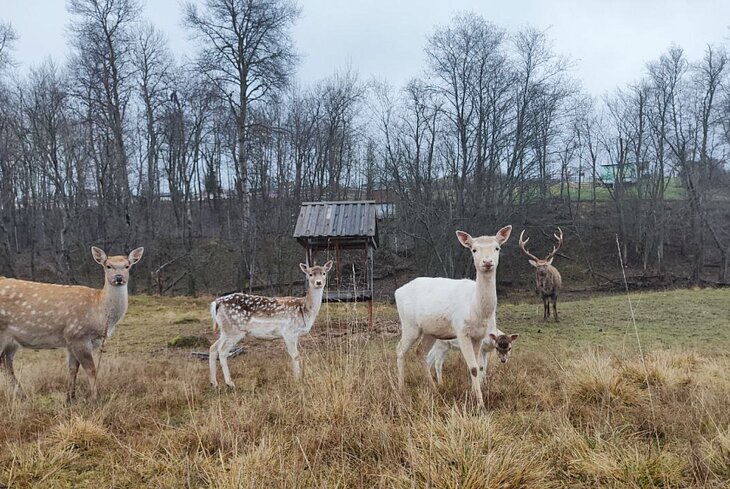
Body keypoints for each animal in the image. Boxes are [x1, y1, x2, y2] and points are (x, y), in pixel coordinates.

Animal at [0, 246, 144, 402]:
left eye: (127, 266)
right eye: (108, 266)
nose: (118, 278)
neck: (99, 313)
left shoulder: (70, 341)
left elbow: (73, 369)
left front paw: (70, 398)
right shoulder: (78, 335)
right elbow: (91, 369)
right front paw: (95, 399)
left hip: (12, 341)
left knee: (6, 363)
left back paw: (23, 395)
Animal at [392, 225, 512, 412]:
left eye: (497, 248)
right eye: (474, 249)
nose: (487, 262)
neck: (476, 309)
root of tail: (397, 292)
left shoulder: (478, 336)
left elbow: (477, 367)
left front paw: (473, 396)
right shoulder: (461, 331)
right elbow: (473, 367)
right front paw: (481, 407)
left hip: (430, 331)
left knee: (420, 352)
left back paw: (434, 388)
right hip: (409, 325)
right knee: (400, 350)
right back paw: (401, 389)